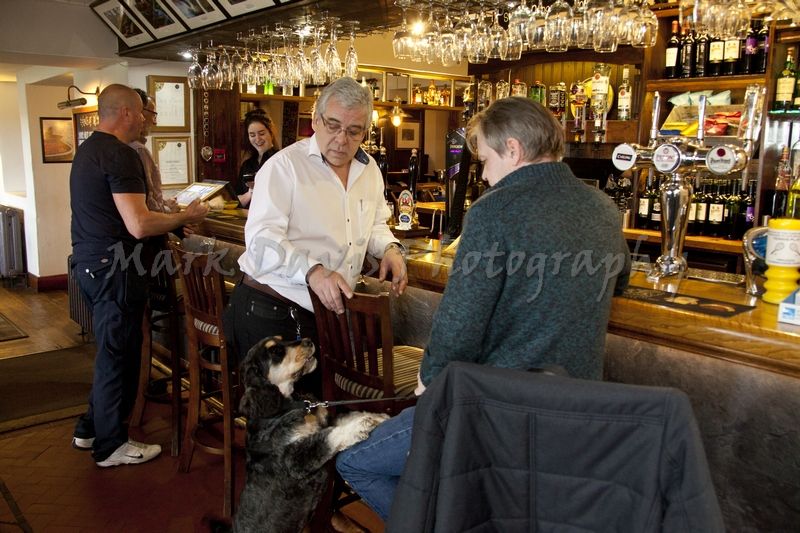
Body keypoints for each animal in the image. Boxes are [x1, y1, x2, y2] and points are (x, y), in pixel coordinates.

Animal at [232, 336, 388, 533]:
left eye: (282, 339)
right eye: (276, 351)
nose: (308, 340)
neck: (288, 405)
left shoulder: (325, 421)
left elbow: (346, 417)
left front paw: (377, 416)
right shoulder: (295, 460)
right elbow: (329, 437)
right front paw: (362, 424)